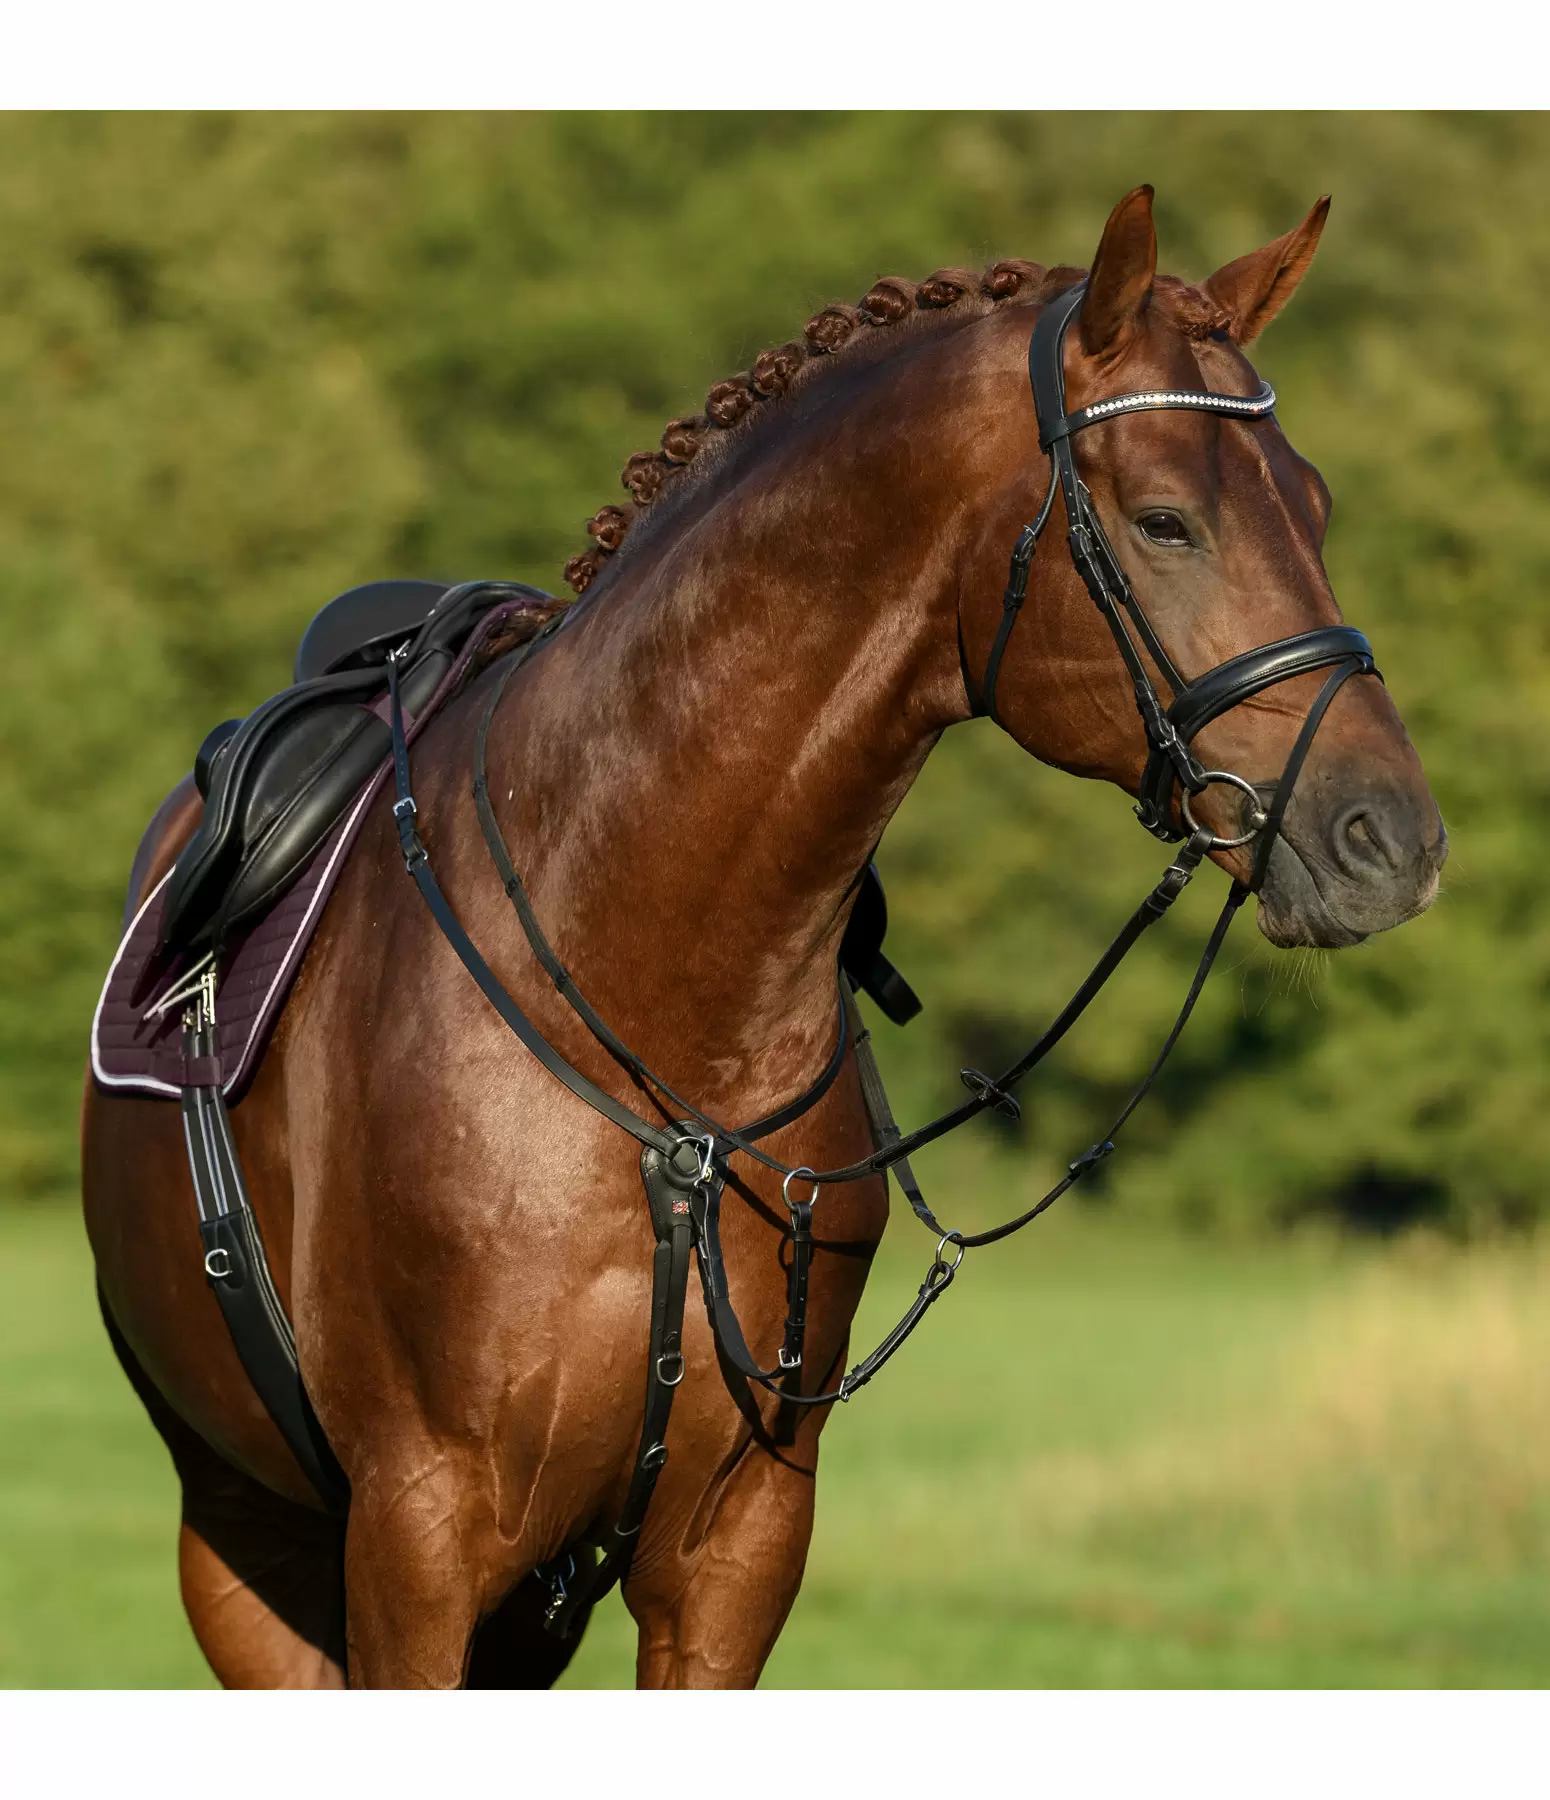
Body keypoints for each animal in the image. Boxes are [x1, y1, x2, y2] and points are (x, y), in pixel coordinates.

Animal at [81, 189, 1440, 1677]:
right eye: (1163, 521)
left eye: (1313, 504)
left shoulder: (733, 1550)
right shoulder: (418, 1539)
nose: (1391, 843)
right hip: (245, 1543)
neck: (649, 988)